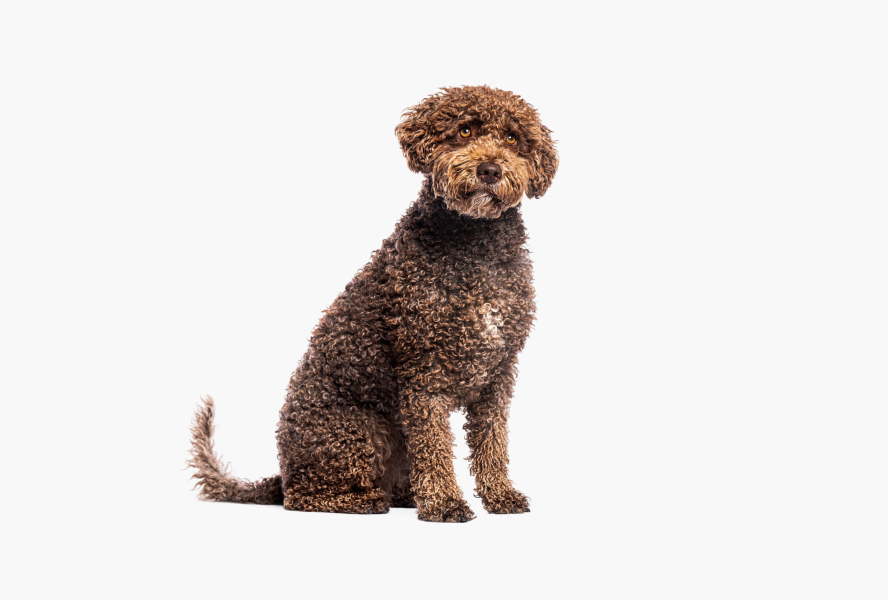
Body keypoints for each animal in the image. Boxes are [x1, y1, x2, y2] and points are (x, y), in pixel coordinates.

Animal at [189, 85, 558, 522]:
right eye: (465, 131)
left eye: (513, 139)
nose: (489, 169)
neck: (476, 244)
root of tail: (282, 471)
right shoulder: (423, 372)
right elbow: (435, 445)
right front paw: (445, 502)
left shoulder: (499, 373)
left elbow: (492, 440)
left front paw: (500, 494)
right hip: (361, 430)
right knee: (304, 496)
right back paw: (363, 500)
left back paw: (404, 494)